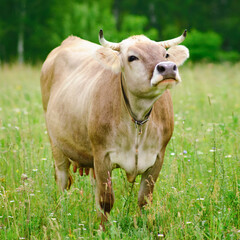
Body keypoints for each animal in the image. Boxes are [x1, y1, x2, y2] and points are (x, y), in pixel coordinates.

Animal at [39, 29, 189, 227]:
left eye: (165, 55)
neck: (137, 121)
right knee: (62, 182)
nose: (168, 68)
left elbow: (144, 199)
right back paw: (61, 216)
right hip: (56, 145)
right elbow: (106, 201)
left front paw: (143, 227)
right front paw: (104, 229)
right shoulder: (102, 156)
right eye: (132, 57)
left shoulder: (158, 157)